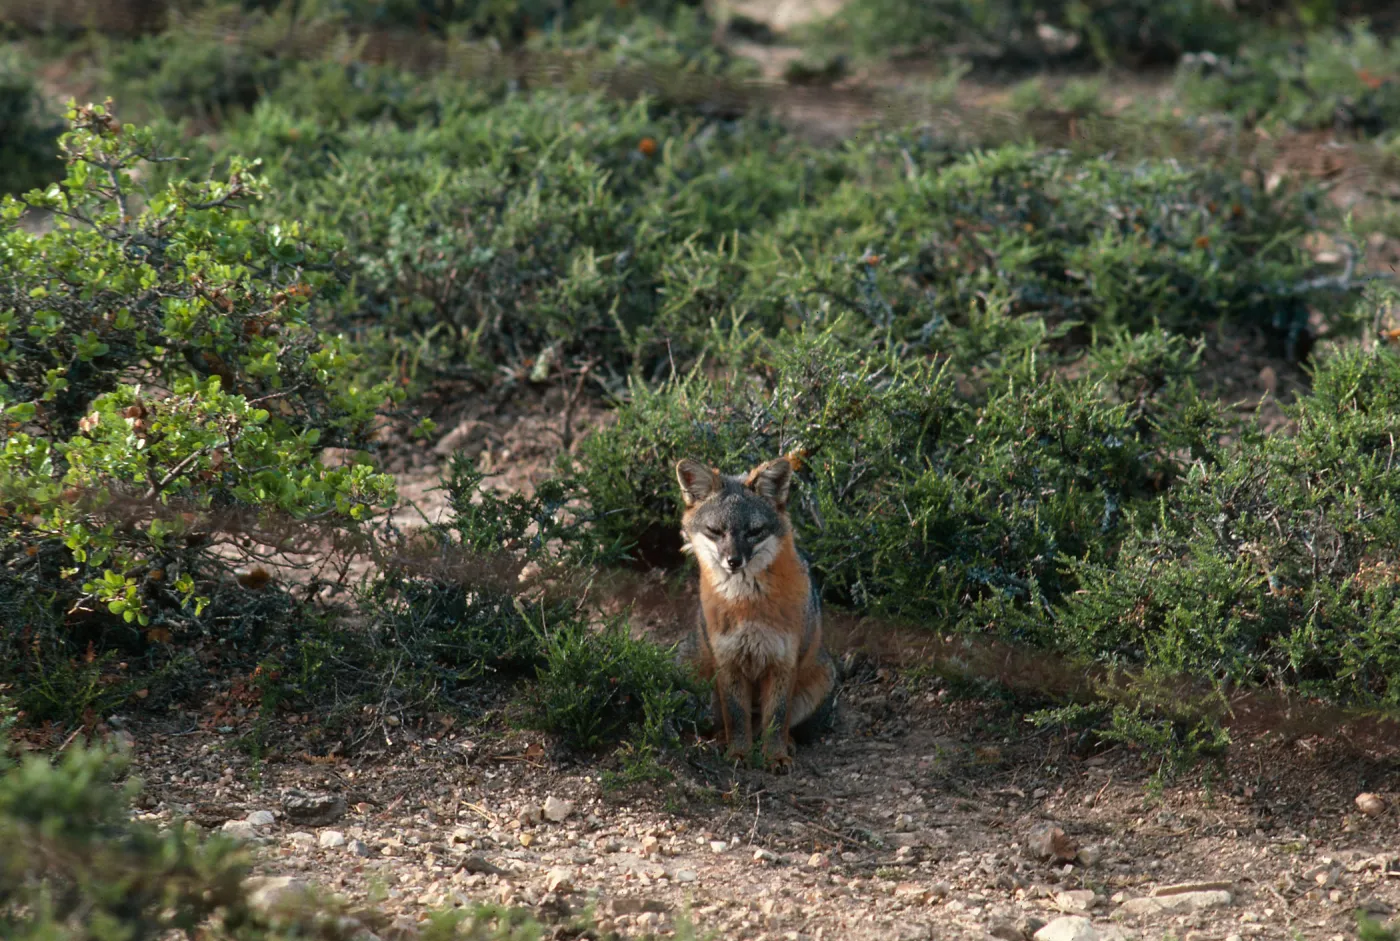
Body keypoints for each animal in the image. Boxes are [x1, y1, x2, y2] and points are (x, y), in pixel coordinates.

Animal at [675, 455, 837, 773]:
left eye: (754, 531)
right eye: (715, 531)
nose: (733, 561)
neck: (746, 605)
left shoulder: (783, 662)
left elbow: (776, 719)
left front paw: (775, 756)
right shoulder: (728, 662)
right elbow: (737, 718)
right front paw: (739, 753)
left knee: (772, 723)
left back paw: (785, 743)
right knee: (723, 722)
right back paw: (724, 741)